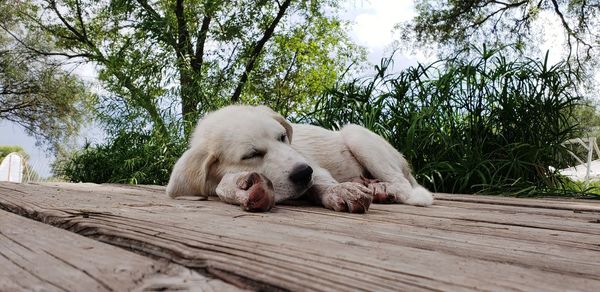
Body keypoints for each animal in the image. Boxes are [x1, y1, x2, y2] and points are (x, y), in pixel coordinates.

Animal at [166, 105, 434, 212]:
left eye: (283, 137)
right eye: (252, 155)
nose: (304, 173)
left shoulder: (312, 166)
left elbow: (322, 182)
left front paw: (340, 191)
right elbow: (222, 185)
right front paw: (243, 187)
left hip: (357, 135)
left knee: (404, 186)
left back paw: (383, 189)